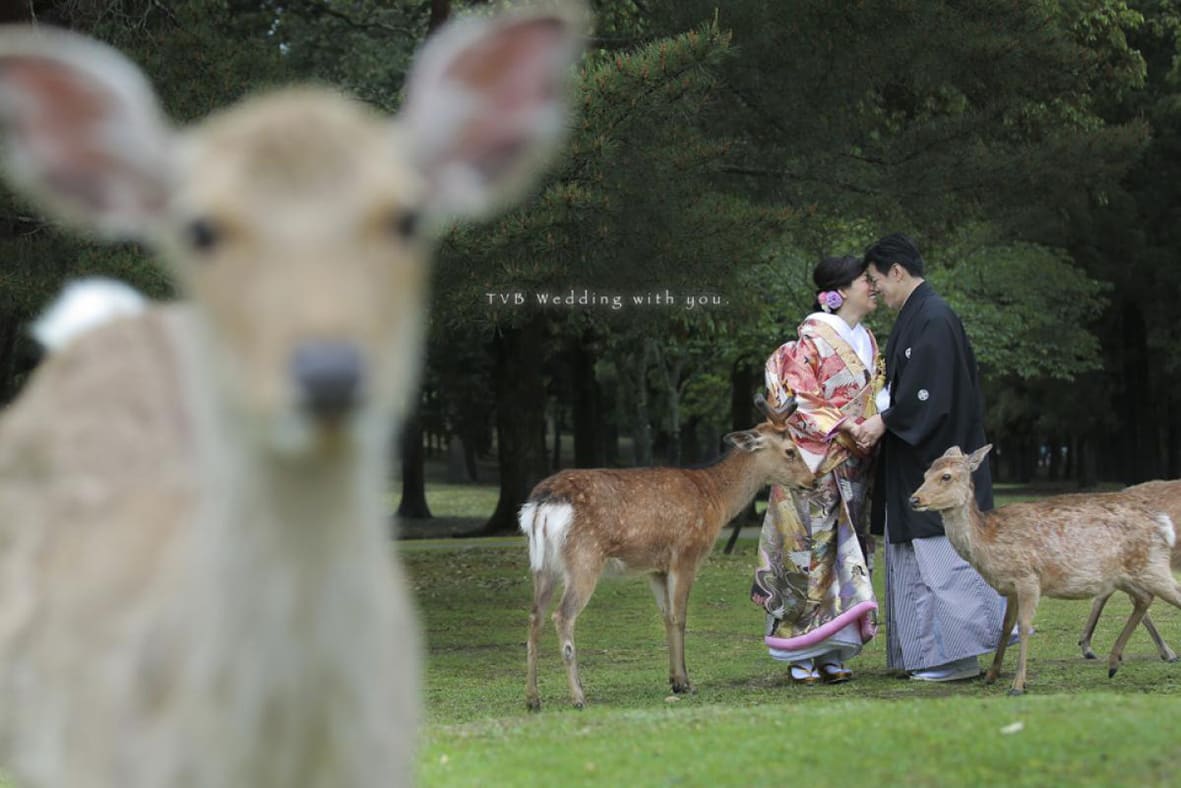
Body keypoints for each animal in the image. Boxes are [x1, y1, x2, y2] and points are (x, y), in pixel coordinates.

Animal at [521, 394, 816, 711]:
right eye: (790, 451)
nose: (812, 481)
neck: (716, 499)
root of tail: (542, 504)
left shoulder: (656, 567)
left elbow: (665, 616)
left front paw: (674, 679)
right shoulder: (685, 553)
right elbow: (680, 617)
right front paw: (685, 683)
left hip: (542, 565)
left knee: (535, 617)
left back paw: (533, 698)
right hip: (583, 558)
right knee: (562, 616)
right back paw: (578, 697)